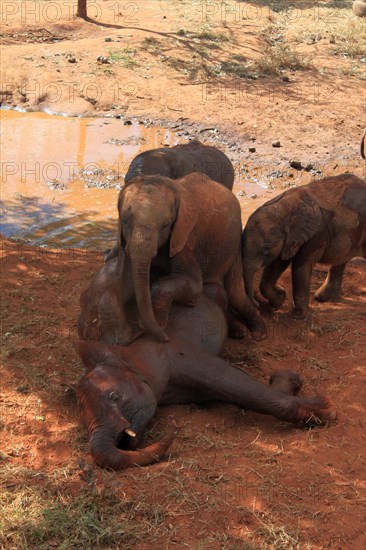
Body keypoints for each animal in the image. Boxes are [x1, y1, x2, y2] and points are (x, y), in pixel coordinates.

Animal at [76, 260, 336, 472]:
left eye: (115, 397)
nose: (175, 429)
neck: (131, 357)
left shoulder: (182, 357)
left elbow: (243, 386)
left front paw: (324, 409)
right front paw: (295, 385)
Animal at [242, 172, 364, 320]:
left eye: (266, 250)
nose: (257, 305)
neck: (284, 208)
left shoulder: (317, 234)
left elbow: (300, 266)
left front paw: (297, 316)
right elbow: (278, 263)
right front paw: (279, 300)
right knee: (341, 260)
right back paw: (323, 298)